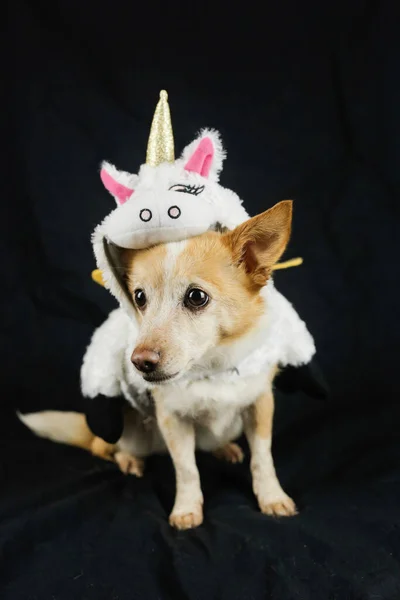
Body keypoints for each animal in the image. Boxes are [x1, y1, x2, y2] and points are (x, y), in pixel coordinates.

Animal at [20, 202, 306, 528]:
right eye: (139, 297)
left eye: (196, 297)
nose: (139, 362)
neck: (212, 369)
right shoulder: (172, 420)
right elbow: (187, 469)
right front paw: (186, 509)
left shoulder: (260, 405)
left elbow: (263, 458)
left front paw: (271, 497)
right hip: (128, 433)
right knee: (110, 450)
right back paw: (129, 459)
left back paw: (224, 448)